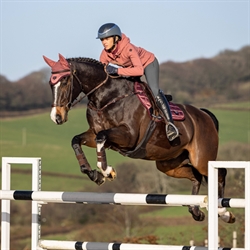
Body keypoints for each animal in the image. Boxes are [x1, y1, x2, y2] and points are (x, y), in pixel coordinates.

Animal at [43, 52, 236, 223]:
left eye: (65, 81)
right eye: (51, 84)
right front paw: (94, 175)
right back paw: (195, 211)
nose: (57, 117)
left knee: (219, 172)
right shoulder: (93, 133)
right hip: (168, 164)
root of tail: (205, 115)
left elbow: (101, 138)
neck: (107, 97)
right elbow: (77, 140)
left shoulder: (128, 136)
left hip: (201, 158)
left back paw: (224, 212)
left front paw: (106, 171)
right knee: (196, 177)